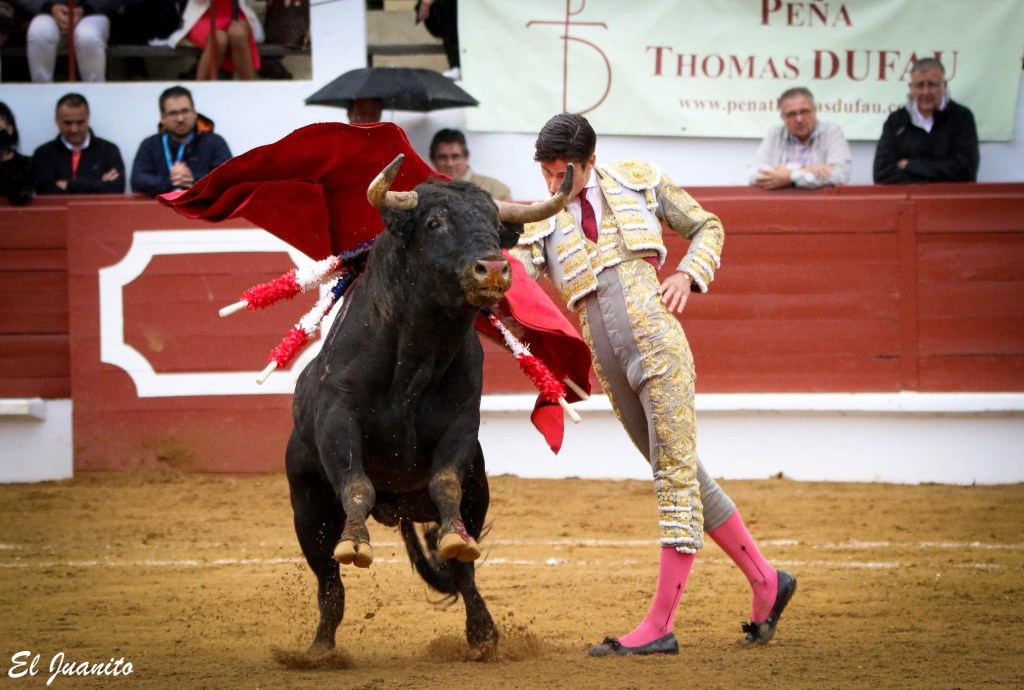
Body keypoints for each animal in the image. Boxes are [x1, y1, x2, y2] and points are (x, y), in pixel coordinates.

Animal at [285, 155, 573, 653]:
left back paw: (482, 635)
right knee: (329, 581)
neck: (417, 356)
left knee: (463, 573)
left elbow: (446, 485)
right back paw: (320, 649)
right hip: (308, 507)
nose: (493, 269)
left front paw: (456, 540)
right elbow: (356, 484)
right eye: (435, 223)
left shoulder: (462, 425)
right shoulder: (337, 418)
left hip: (478, 492)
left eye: (495, 224)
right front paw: (355, 542)